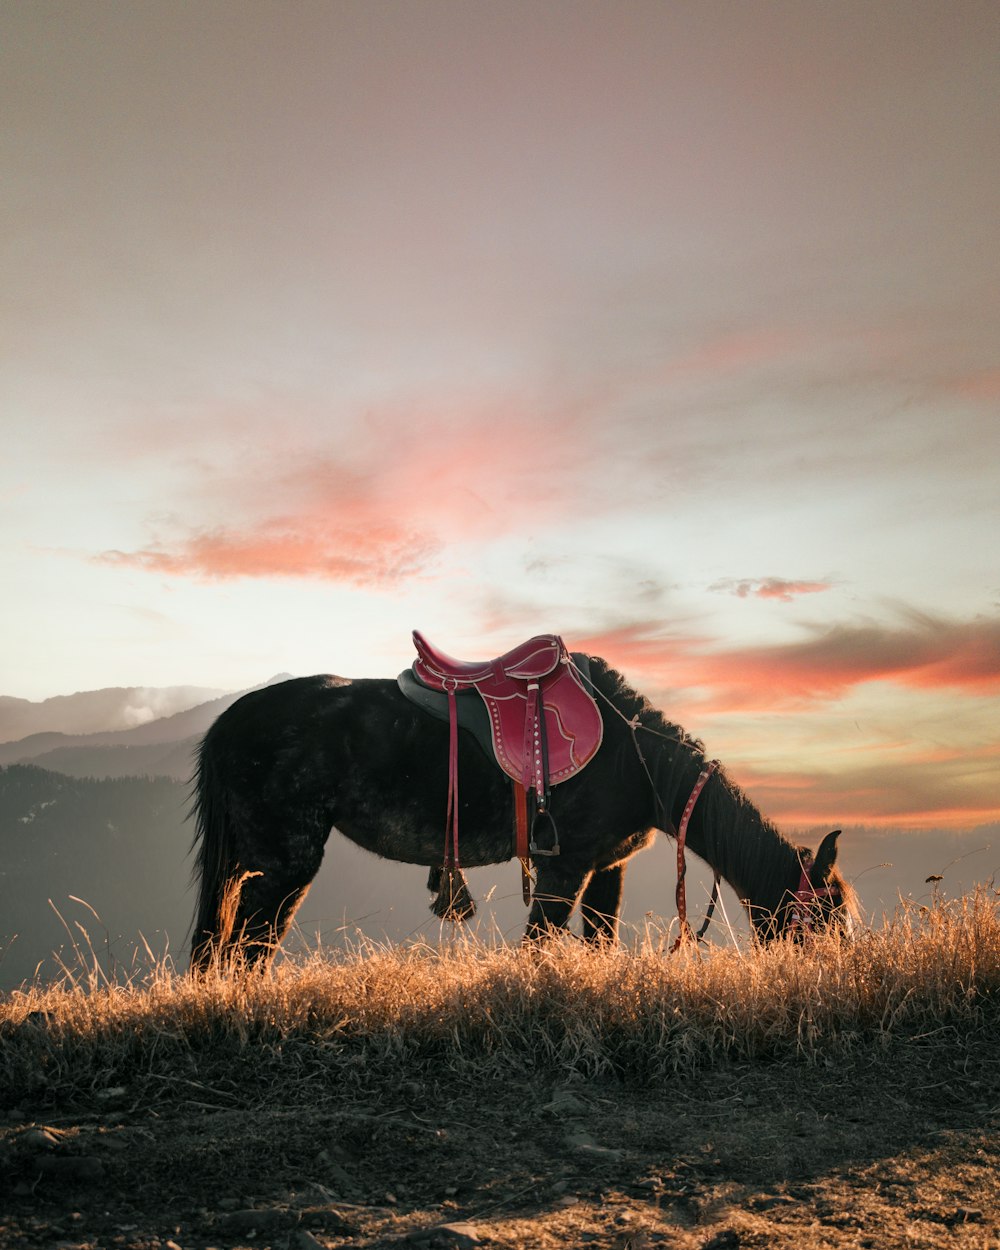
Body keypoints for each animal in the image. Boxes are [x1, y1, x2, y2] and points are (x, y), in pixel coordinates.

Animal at [190, 650, 860, 970]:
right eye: (832, 922)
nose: (842, 974)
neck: (634, 758)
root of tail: (228, 721)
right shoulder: (565, 866)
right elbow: (539, 945)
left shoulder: (606, 869)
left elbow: (598, 942)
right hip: (285, 864)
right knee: (246, 948)